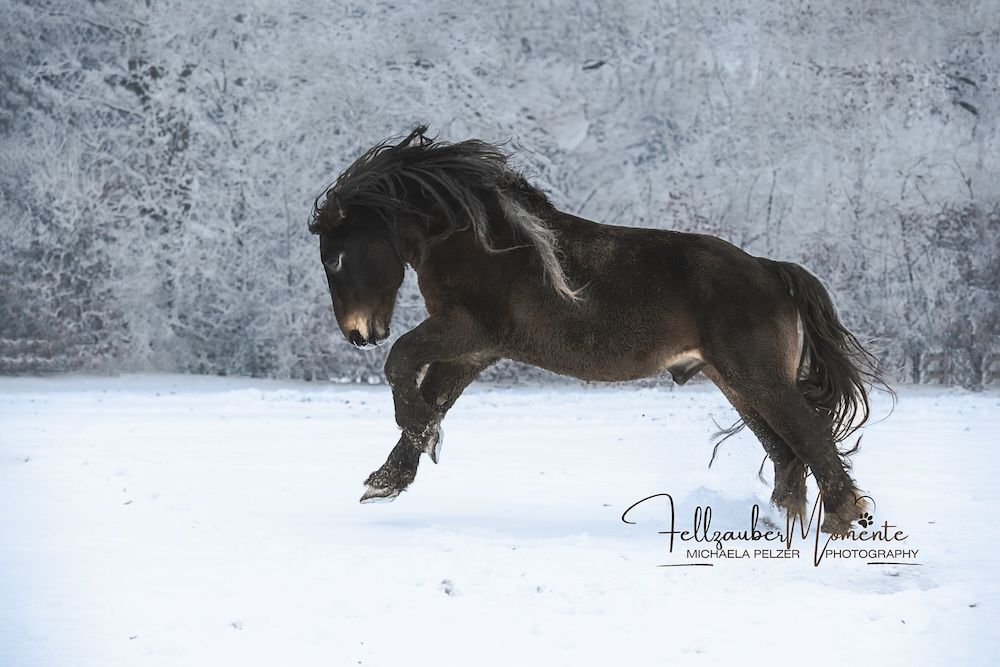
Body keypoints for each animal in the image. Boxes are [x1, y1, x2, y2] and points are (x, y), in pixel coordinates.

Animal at [308, 125, 889, 535]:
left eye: (335, 258)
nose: (359, 333)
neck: (480, 242)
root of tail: (770, 270)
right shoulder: (471, 352)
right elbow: (432, 394)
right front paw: (389, 478)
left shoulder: (467, 329)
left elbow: (401, 362)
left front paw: (415, 437)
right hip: (737, 385)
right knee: (788, 456)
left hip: (758, 378)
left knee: (810, 439)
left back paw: (841, 521)